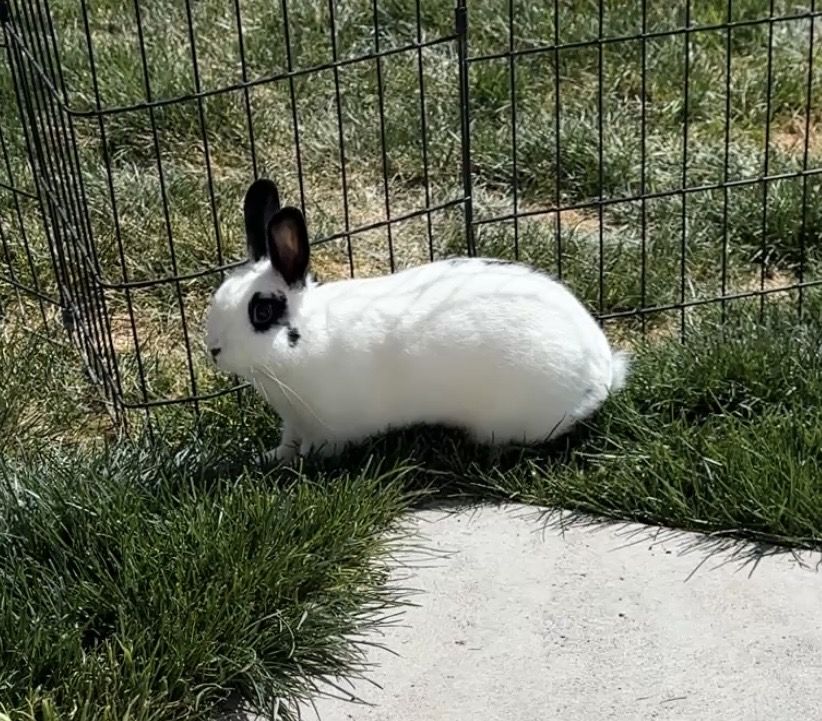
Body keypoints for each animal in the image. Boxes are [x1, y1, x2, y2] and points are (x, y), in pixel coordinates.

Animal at [205, 178, 630, 463]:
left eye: (261, 312)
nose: (214, 350)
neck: (308, 339)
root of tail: (602, 373)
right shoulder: (293, 422)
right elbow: (287, 444)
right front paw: (269, 459)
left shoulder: (331, 429)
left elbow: (320, 449)